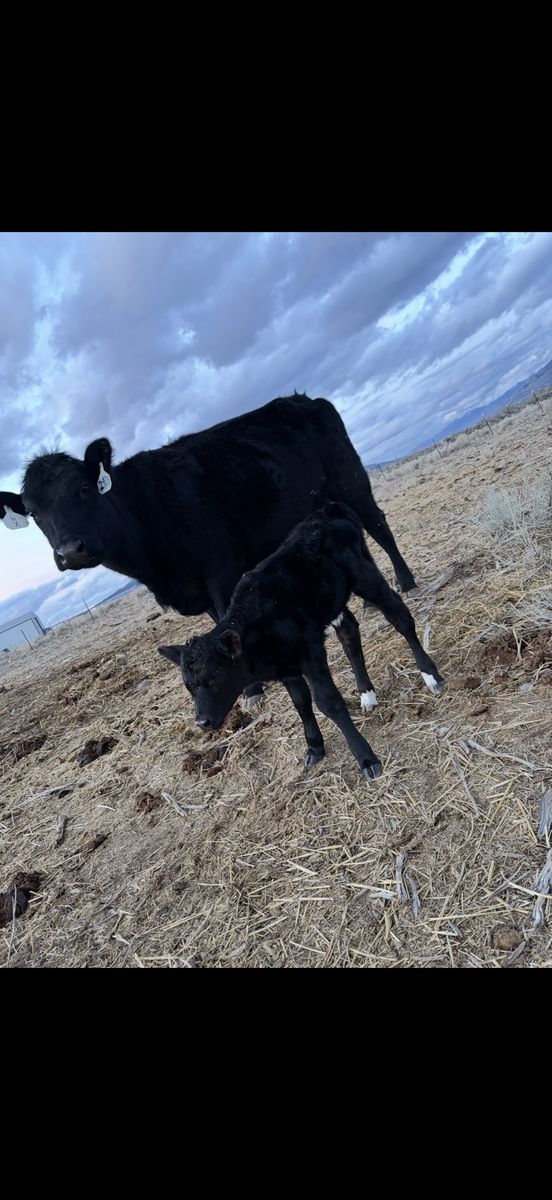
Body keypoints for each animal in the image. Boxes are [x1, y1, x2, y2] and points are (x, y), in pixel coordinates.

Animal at [1, 394, 416, 706]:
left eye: (84, 489)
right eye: (35, 513)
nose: (70, 551)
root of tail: (301, 398)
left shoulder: (220, 571)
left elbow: (223, 623)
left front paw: (250, 691)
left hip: (351, 479)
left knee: (379, 527)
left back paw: (406, 581)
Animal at [158, 502, 444, 783]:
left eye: (216, 674)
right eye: (187, 686)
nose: (202, 722)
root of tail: (325, 512)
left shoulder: (309, 653)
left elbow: (326, 701)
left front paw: (366, 759)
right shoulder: (287, 668)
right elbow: (301, 702)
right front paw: (314, 747)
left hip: (365, 576)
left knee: (399, 616)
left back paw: (430, 674)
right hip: (332, 599)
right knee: (349, 633)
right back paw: (367, 695)